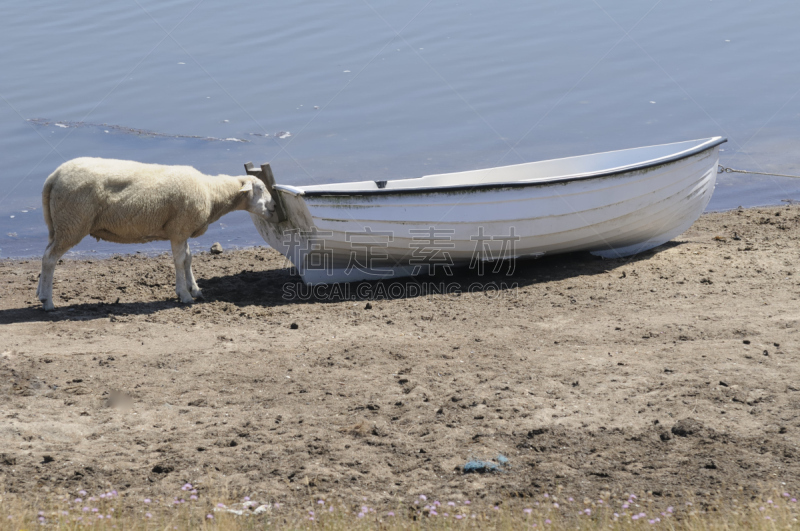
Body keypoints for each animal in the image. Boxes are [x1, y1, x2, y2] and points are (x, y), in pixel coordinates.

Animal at [36, 157, 276, 312]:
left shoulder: (182, 229)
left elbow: (188, 259)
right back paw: (48, 302)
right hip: (72, 222)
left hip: (58, 225)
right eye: (261, 189)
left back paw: (40, 294)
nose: (274, 207)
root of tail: (53, 177)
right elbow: (179, 261)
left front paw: (195, 289)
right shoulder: (178, 229)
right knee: (50, 258)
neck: (211, 192)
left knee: (45, 254)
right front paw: (184, 295)